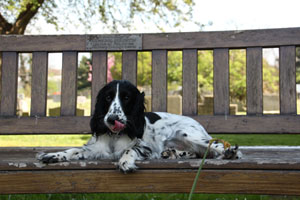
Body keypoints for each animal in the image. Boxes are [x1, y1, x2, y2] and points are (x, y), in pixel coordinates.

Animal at [38, 80, 241, 173]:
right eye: (108, 97)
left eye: (127, 97)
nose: (112, 119)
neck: (115, 136)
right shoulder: (95, 149)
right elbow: (74, 150)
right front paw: (53, 155)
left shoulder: (145, 147)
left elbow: (130, 150)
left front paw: (125, 162)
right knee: (197, 152)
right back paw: (171, 153)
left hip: (187, 133)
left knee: (216, 146)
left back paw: (230, 152)